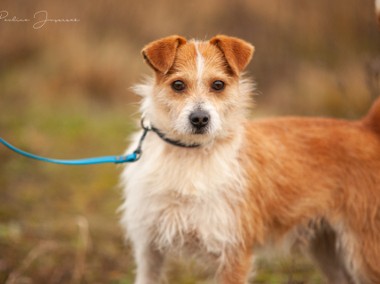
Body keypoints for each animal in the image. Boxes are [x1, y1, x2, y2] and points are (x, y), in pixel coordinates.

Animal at [120, 34, 380, 282]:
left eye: (218, 85)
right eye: (178, 85)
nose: (200, 119)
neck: (189, 154)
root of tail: (366, 128)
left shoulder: (234, 253)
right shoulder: (149, 251)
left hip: (365, 252)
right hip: (328, 248)